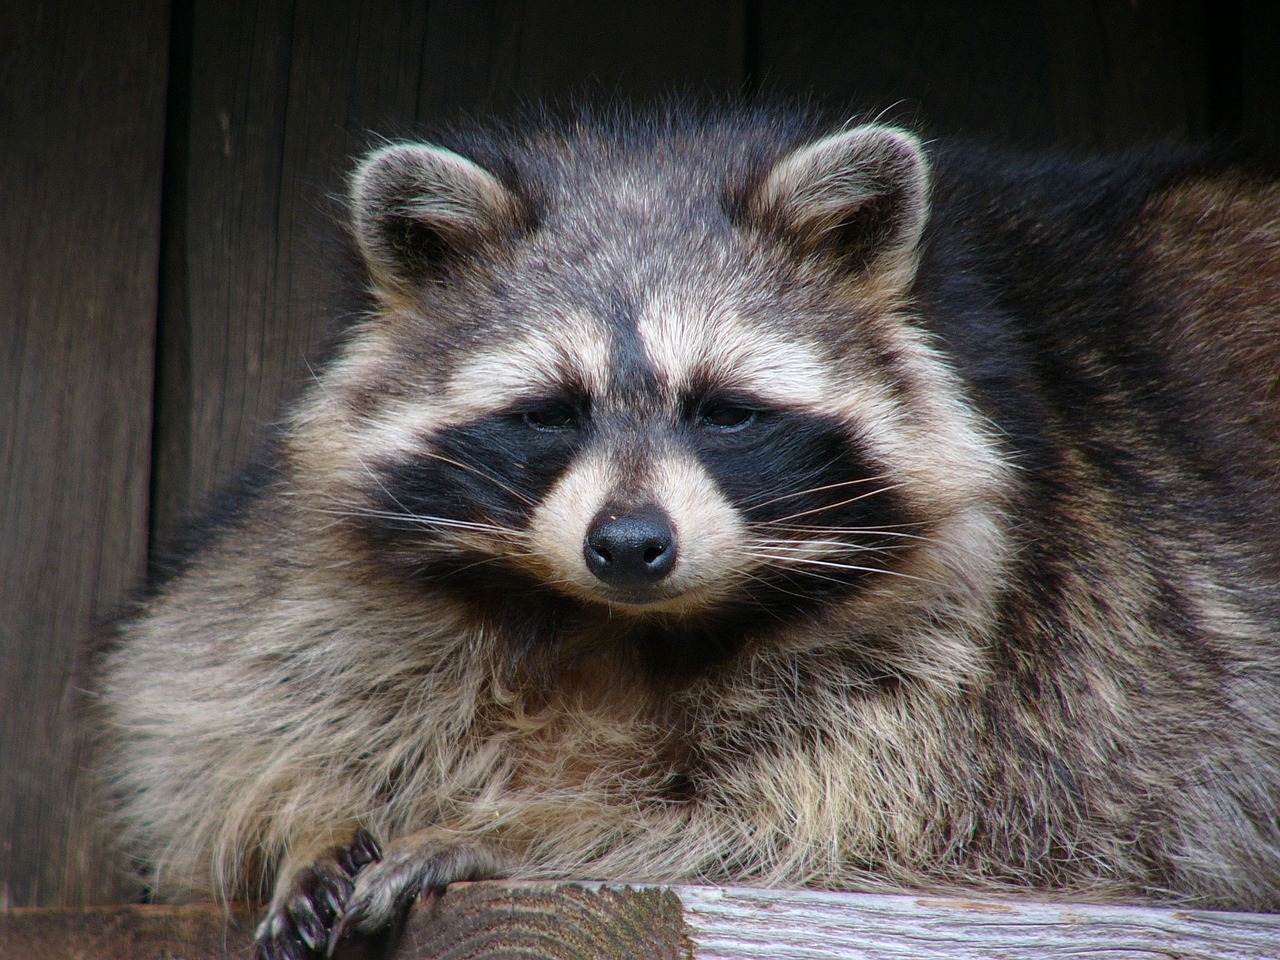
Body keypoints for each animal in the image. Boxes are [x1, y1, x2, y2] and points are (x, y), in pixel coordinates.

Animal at [97, 106, 1280, 960]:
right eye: (550, 412)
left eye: (723, 411)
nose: (628, 544)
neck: (607, 628)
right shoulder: (300, 570)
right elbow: (212, 703)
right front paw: (309, 811)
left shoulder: (1054, 646)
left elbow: (878, 824)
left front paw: (526, 828)